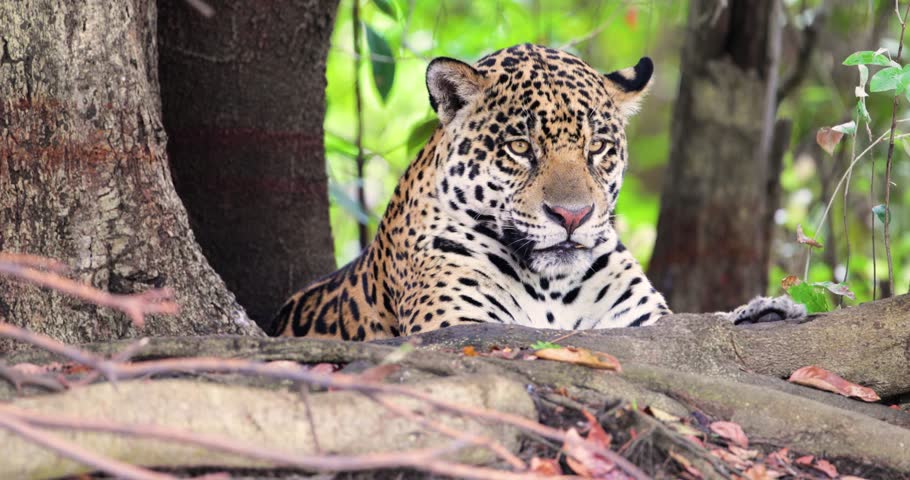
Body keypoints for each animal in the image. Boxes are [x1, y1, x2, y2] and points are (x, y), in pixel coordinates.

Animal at [268, 43, 804, 340]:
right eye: (521, 147)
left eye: (597, 147)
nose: (572, 216)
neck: (552, 287)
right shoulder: (455, 323)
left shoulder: (639, 320)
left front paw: (764, 311)